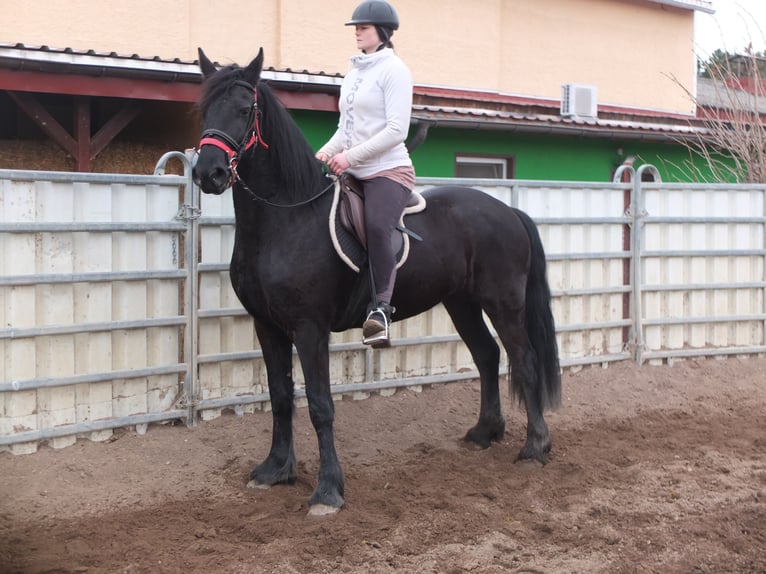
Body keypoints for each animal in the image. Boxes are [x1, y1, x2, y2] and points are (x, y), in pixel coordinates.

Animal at [194, 49, 564, 516]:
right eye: (204, 108)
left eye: (245, 110)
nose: (208, 173)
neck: (288, 217)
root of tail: (508, 211)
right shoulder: (268, 327)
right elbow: (280, 397)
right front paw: (275, 470)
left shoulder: (309, 329)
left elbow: (320, 406)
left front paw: (328, 491)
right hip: (461, 303)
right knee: (486, 355)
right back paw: (485, 432)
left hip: (503, 302)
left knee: (524, 359)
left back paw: (535, 447)